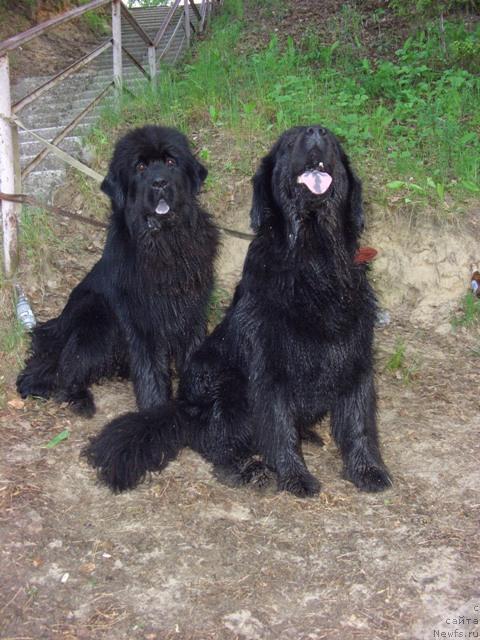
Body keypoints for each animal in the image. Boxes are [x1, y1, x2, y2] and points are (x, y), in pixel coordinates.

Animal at [16, 126, 218, 416]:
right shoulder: (142, 321)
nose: (160, 183)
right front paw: (155, 411)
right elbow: (150, 373)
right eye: (141, 167)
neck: (164, 241)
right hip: (96, 319)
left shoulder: (192, 312)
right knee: (68, 369)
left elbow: (192, 354)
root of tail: (58, 328)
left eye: (171, 162)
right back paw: (80, 399)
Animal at [84, 124, 392, 496]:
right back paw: (248, 469)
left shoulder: (355, 357)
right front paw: (294, 476)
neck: (315, 259)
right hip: (226, 388)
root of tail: (183, 406)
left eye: (331, 140)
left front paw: (368, 470)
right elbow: (278, 427)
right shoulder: (269, 368)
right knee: (214, 443)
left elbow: (360, 423)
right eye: (289, 143)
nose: (314, 132)